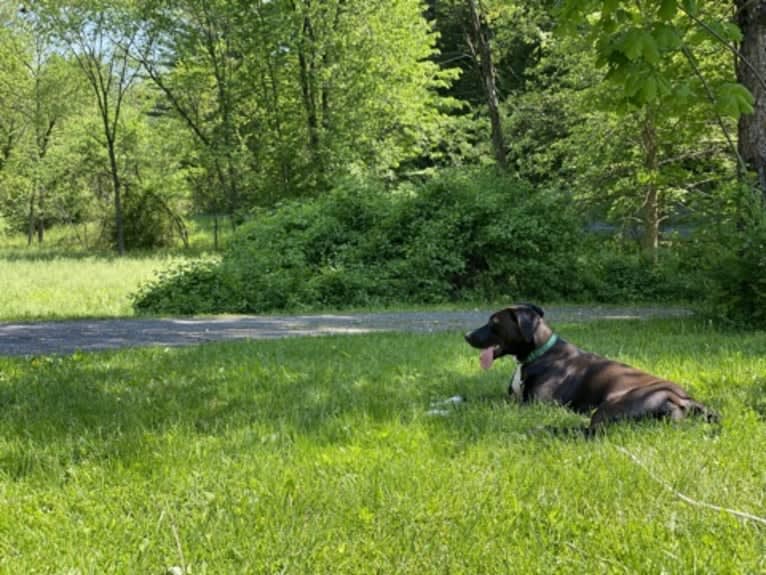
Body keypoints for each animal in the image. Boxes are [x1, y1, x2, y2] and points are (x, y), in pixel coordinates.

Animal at [462, 306, 720, 432]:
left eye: (494, 323)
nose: (466, 336)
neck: (538, 353)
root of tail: (685, 400)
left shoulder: (532, 404)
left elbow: (489, 404)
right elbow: (476, 398)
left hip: (614, 406)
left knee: (591, 433)